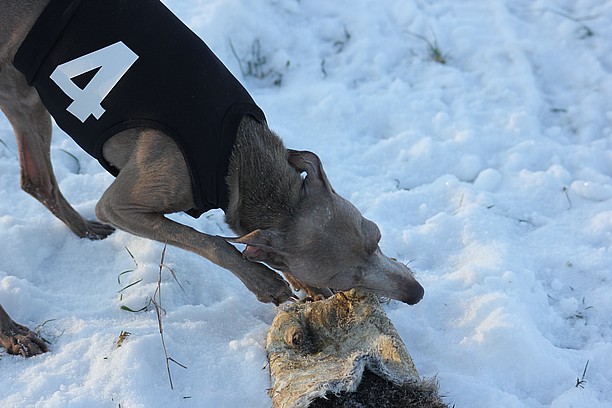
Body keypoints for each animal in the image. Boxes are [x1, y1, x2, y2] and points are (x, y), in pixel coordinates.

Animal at [0, 0, 424, 356]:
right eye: (348, 277)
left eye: (376, 238)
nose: (417, 294)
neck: (239, 161)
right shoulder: (122, 204)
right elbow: (212, 242)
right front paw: (263, 281)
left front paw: (304, 285)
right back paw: (15, 334)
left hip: (22, 92)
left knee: (36, 180)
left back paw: (84, 231)